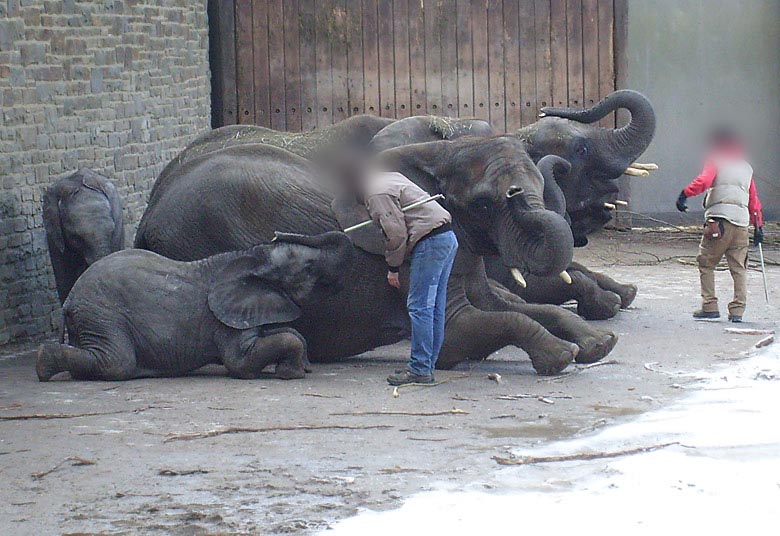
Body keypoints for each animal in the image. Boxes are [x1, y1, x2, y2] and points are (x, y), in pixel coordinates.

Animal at [35, 231, 354, 382]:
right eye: (309, 267)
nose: (277, 233)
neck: (248, 258)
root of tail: (69, 301)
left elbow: (288, 333)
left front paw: (304, 366)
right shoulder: (224, 321)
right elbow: (240, 361)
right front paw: (293, 374)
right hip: (101, 313)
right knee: (116, 362)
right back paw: (43, 364)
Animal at [137, 136, 620, 374]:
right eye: (483, 204)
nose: (518, 194)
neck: (439, 153)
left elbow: (513, 305)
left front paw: (598, 345)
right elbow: (468, 329)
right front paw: (560, 358)